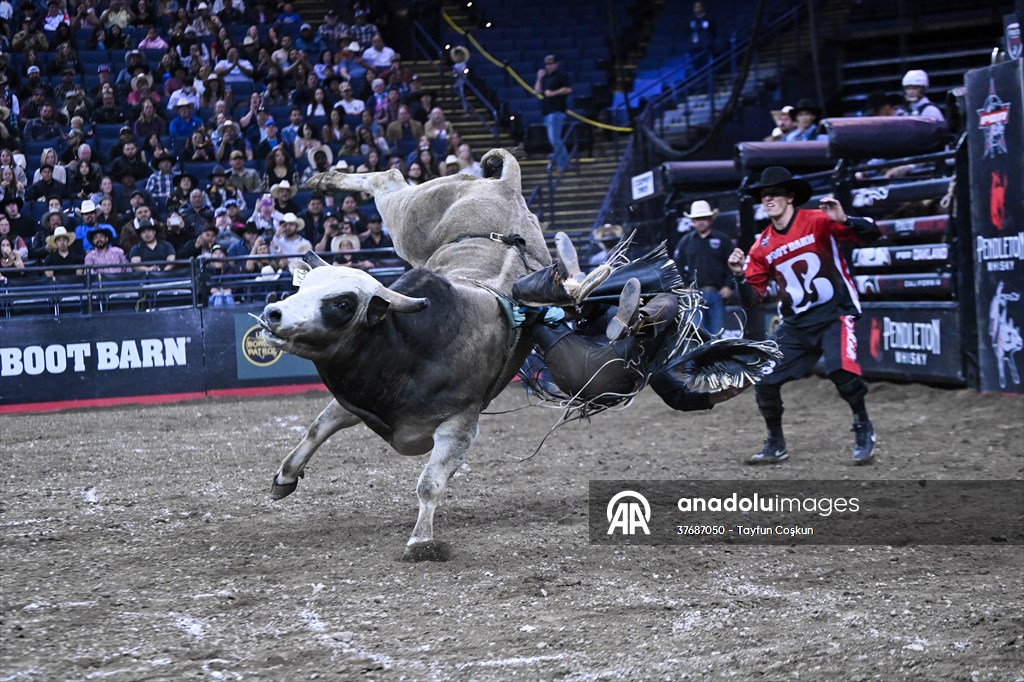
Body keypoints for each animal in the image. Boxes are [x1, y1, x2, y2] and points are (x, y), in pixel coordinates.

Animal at [258, 149, 552, 560]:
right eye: (303, 287)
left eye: (343, 303)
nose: (273, 313)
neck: (413, 348)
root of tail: (506, 185)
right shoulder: (358, 398)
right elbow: (319, 427)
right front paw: (284, 477)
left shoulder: (460, 425)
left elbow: (429, 483)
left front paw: (421, 541)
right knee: (388, 177)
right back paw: (323, 179)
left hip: (409, 215)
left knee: (390, 178)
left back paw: (323, 179)